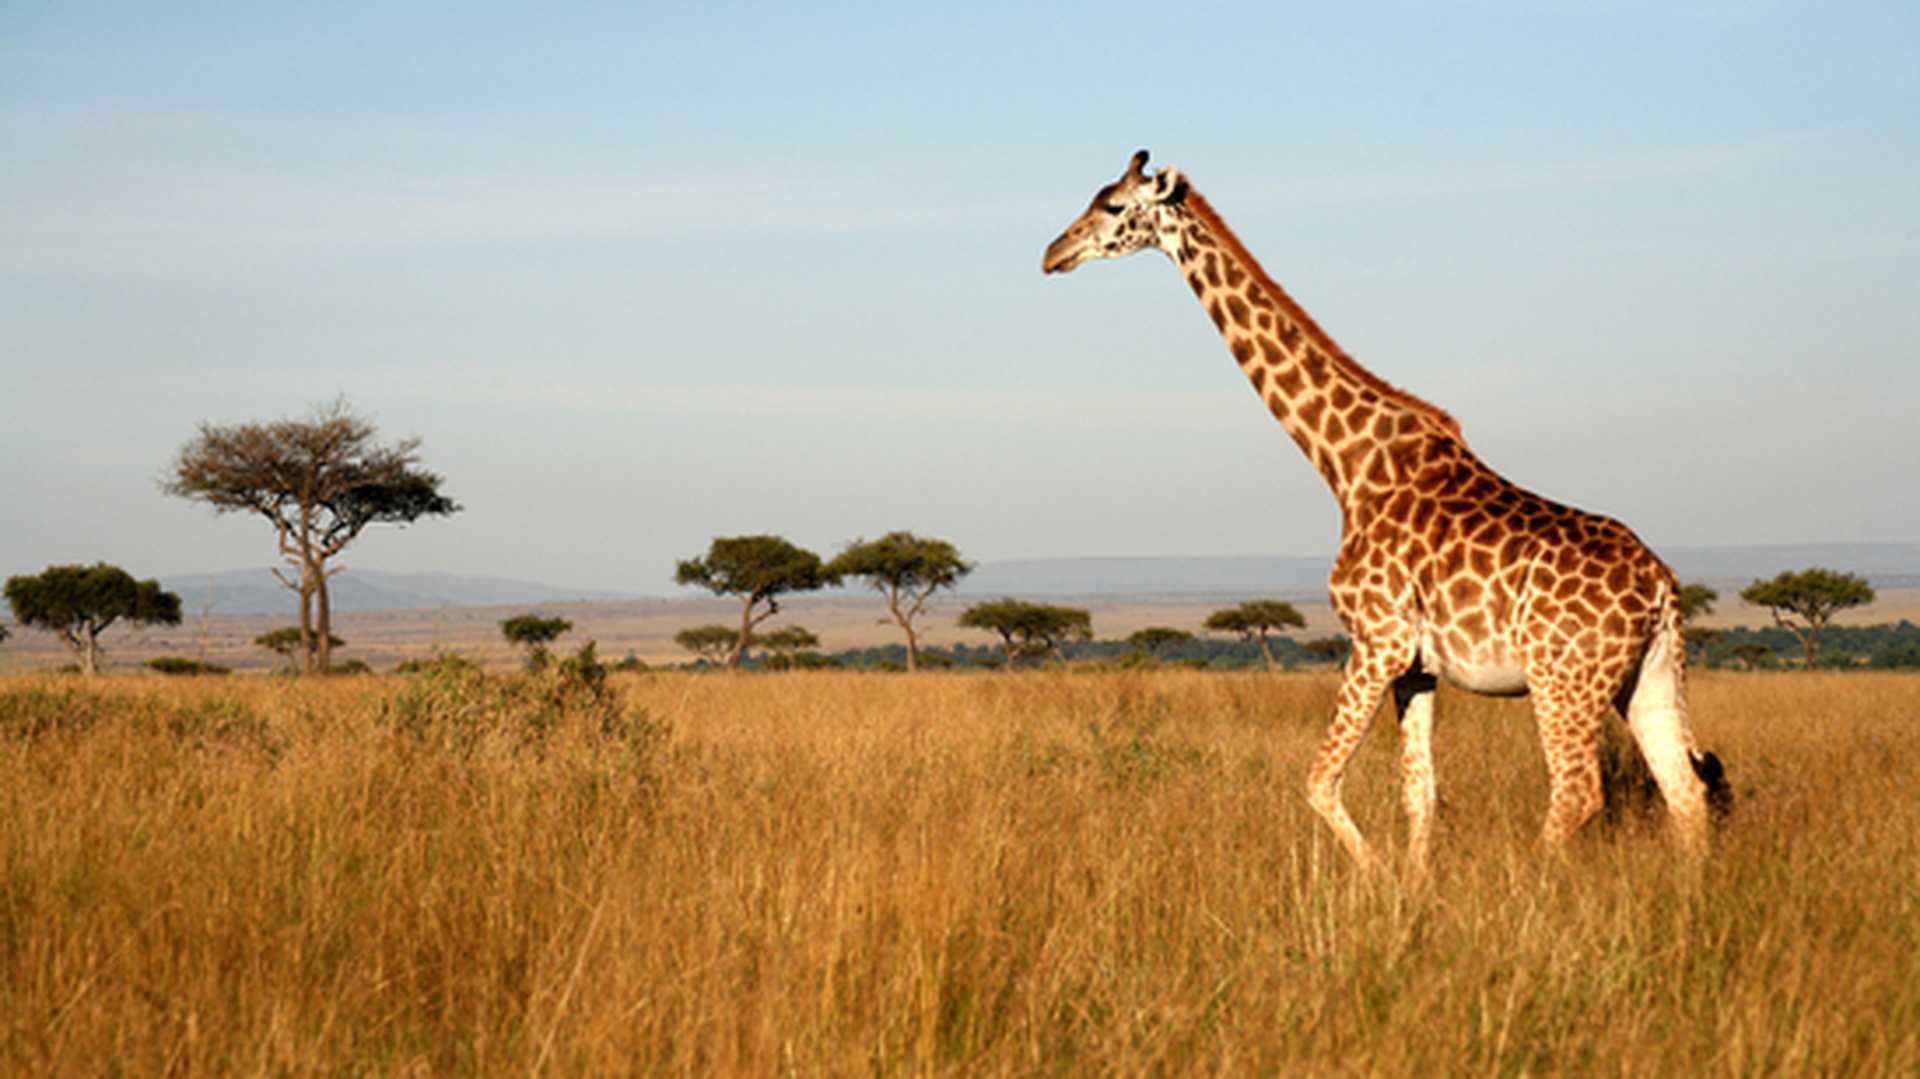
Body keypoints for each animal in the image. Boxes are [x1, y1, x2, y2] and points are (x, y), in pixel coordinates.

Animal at [1043, 151, 1730, 871]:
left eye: (1114, 206)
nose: (1053, 252)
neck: (1347, 465)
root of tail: (1662, 587)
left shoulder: (1377, 640)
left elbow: (1319, 780)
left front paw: (1375, 874)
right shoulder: (1417, 666)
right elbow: (1419, 791)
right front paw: (1414, 883)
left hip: (1562, 678)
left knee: (1577, 791)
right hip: (1647, 675)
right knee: (1683, 790)